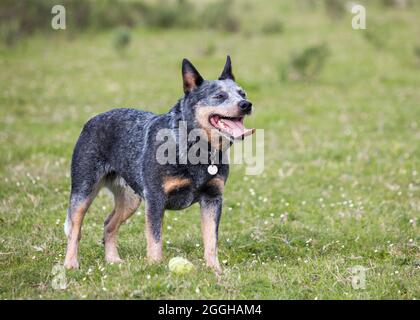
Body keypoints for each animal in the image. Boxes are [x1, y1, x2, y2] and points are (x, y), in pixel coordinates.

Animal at [64, 56, 254, 274]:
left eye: (242, 93)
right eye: (220, 96)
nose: (246, 104)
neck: (195, 150)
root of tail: (91, 120)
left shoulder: (213, 198)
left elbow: (211, 241)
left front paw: (215, 270)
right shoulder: (155, 198)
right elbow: (155, 239)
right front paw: (155, 268)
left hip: (131, 199)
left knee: (109, 223)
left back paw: (113, 259)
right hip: (84, 190)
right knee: (75, 229)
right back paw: (70, 263)